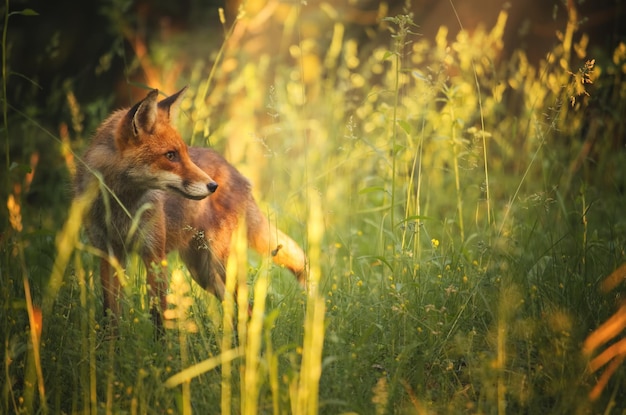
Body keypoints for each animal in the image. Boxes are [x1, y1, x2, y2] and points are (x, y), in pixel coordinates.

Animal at [73, 88, 304, 322]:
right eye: (170, 155)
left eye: (184, 153)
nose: (213, 185)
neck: (120, 207)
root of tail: (236, 172)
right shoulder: (107, 253)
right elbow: (110, 316)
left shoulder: (155, 255)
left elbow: (159, 316)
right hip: (203, 273)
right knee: (233, 308)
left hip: (219, 265)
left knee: (247, 307)